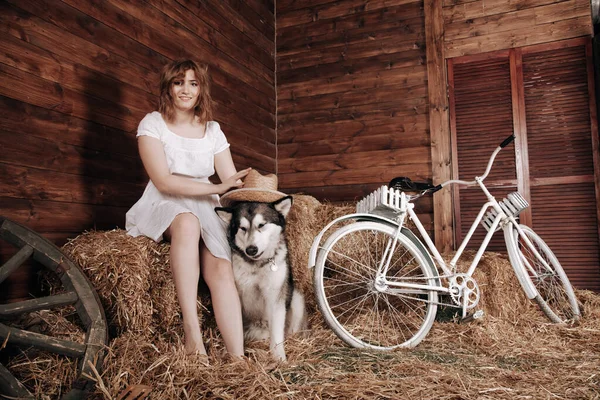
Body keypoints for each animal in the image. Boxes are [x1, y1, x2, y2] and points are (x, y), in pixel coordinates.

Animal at [214, 195, 304, 360]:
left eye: (261, 225)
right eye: (242, 228)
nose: (251, 249)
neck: (257, 265)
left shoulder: (275, 296)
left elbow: (277, 333)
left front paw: (279, 357)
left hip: (297, 299)